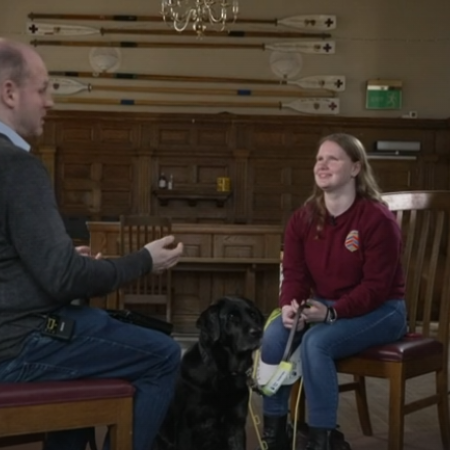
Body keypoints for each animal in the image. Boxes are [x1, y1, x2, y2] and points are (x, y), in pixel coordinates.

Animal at [152, 296, 264, 450]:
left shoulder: (236, 425)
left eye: (253, 315)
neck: (224, 374)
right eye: (231, 317)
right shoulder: (186, 427)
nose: (258, 332)